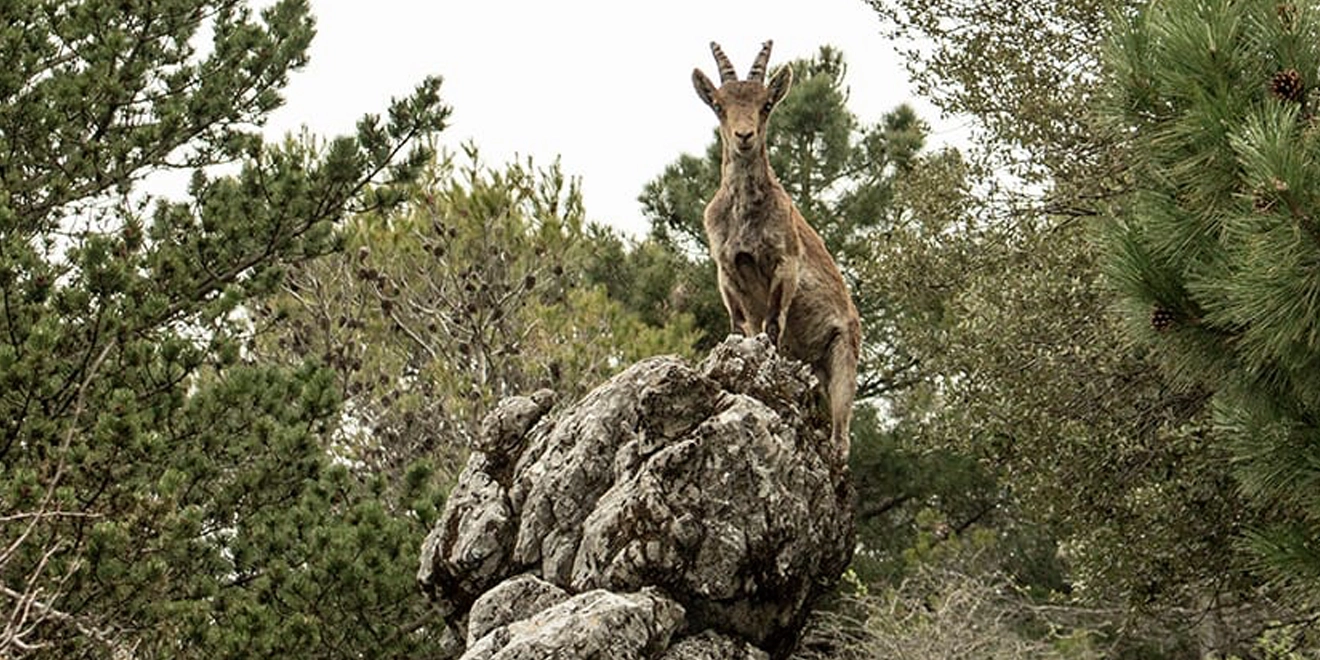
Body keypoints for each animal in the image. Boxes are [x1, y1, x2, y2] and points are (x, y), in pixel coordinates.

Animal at [692, 40, 862, 460]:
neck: (744, 215)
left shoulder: (785, 263)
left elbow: (772, 324)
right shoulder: (726, 271)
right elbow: (741, 326)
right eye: (719, 104)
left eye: (766, 103)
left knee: (842, 432)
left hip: (843, 356)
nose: (744, 135)